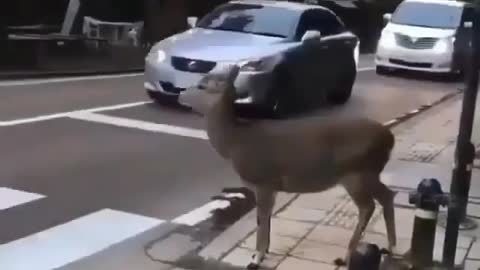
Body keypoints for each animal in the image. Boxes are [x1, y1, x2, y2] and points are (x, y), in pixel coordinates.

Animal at [178, 64, 396, 268]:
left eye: (202, 85)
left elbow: (261, 218)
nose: (180, 94)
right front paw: (264, 251)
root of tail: (389, 138)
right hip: (370, 172)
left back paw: (347, 256)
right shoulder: (273, 185)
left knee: (367, 206)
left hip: (356, 172)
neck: (234, 143)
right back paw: (390, 246)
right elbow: (267, 218)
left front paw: (256, 258)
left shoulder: (262, 181)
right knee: (387, 195)